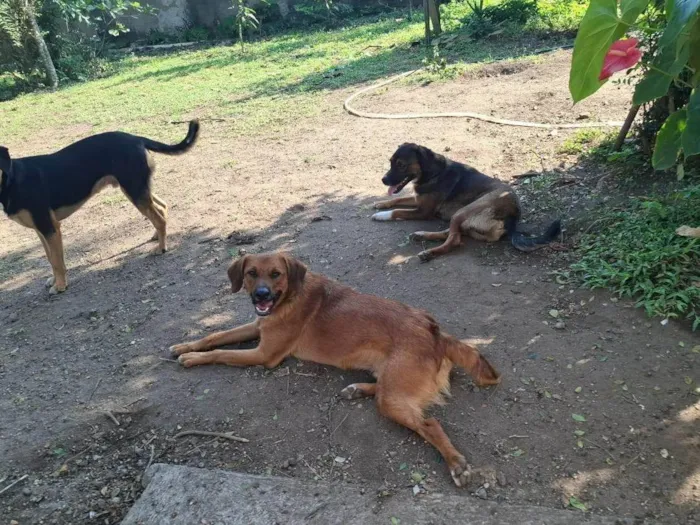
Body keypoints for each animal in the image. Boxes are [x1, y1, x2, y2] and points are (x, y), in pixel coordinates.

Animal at [2, 119, 200, 294]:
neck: (12, 179)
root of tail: (136, 138)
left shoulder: (50, 228)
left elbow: (57, 261)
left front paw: (60, 286)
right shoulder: (41, 230)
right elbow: (51, 258)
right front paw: (54, 280)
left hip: (135, 191)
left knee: (158, 218)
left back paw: (161, 248)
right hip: (137, 190)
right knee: (161, 208)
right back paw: (156, 237)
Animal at [172, 252, 500, 486]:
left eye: (276, 274)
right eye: (251, 273)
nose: (261, 295)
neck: (289, 296)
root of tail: (436, 331)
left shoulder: (265, 354)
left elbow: (222, 352)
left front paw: (194, 358)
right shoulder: (257, 326)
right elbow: (216, 335)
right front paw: (185, 346)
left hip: (394, 396)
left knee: (429, 423)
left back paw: (455, 463)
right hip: (390, 385)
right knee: (384, 389)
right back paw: (355, 389)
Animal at [372, 142, 564, 260]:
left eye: (401, 164)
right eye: (390, 162)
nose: (383, 180)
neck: (432, 171)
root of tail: (512, 218)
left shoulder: (423, 211)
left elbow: (398, 210)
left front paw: (382, 215)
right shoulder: (418, 199)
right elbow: (398, 199)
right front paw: (380, 205)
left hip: (463, 211)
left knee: (455, 240)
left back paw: (430, 252)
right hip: (462, 218)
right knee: (452, 233)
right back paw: (421, 235)